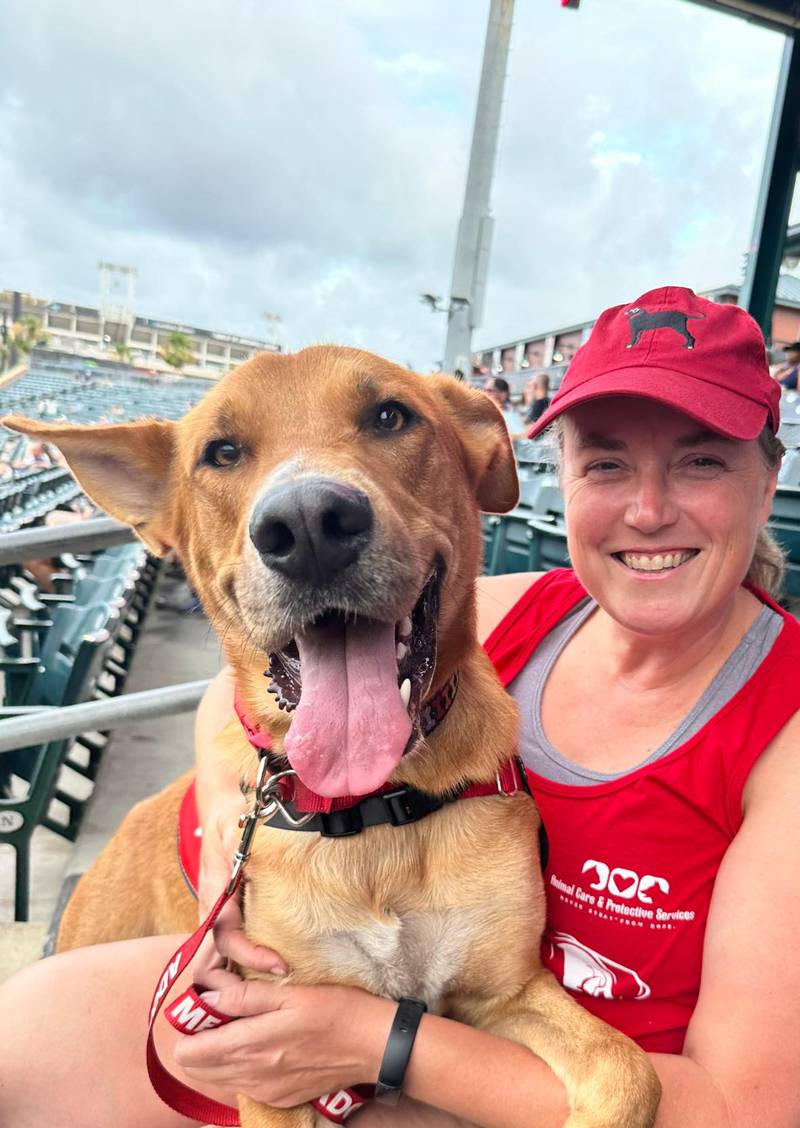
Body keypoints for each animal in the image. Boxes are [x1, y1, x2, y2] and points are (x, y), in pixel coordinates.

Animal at [3, 347, 658, 1123]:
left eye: (390, 416)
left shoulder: (506, 991)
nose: (309, 524)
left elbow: (628, 1069)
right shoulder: (264, 1056)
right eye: (221, 453)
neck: (372, 811)